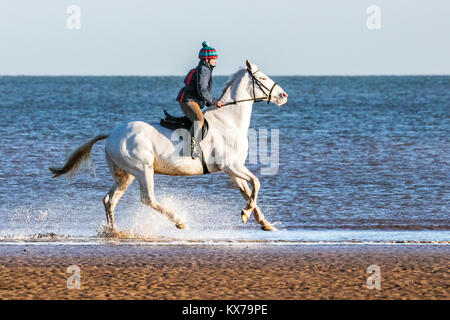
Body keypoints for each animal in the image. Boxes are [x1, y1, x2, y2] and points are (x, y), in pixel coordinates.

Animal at [50, 60, 288, 235]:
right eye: (263, 78)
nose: (284, 96)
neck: (228, 120)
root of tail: (112, 134)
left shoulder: (232, 169)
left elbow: (248, 192)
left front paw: (262, 221)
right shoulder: (231, 165)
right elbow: (256, 183)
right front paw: (246, 214)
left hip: (124, 175)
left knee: (109, 200)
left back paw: (114, 231)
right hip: (143, 170)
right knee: (147, 198)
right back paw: (180, 221)